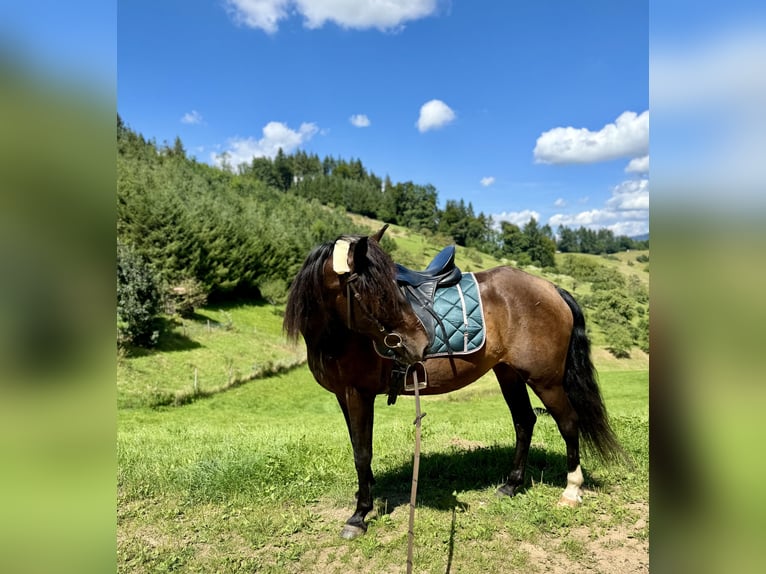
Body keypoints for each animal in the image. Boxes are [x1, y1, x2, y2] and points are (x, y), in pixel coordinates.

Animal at [284, 227, 624, 544]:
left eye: (394, 287)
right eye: (374, 292)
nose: (420, 343)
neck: (339, 337)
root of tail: (551, 288)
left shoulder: (359, 394)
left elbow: (362, 453)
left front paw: (359, 515)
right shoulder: (345, 396)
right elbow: (358, 447)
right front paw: (364, 497)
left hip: (546, 379)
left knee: (568, 422)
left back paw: (571, 491)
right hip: (509, 373)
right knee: (524, 421)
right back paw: (511, 485)